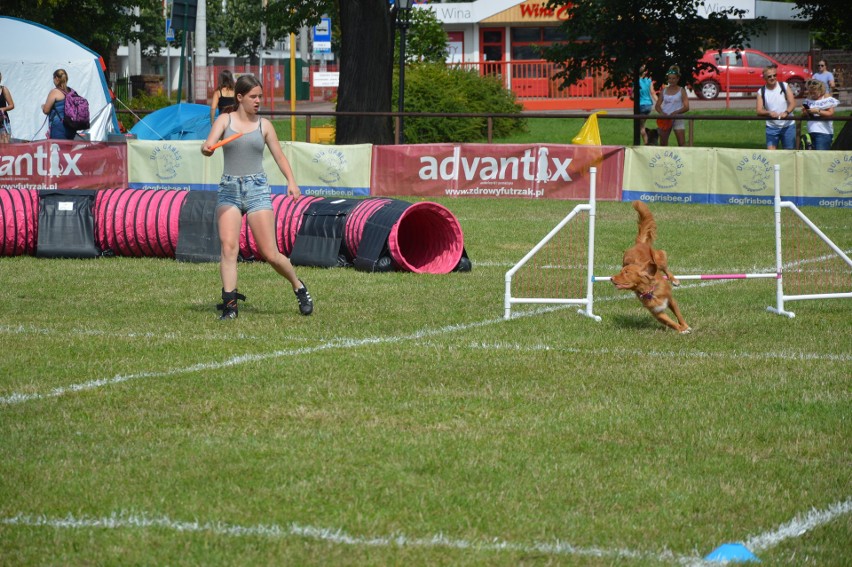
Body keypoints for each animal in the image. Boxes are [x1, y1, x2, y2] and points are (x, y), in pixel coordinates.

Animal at [608, 200, 688, 332]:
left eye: (626, 273)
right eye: (621, 271)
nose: (611, 278)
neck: (649, 289)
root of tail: (638, 243)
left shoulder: (670, 299)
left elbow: (678, 315)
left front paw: (685, 326)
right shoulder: (656, 311)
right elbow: (670, 322)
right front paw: (681, 329)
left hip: (659, 258)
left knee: (665, 268)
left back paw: (675, 280)